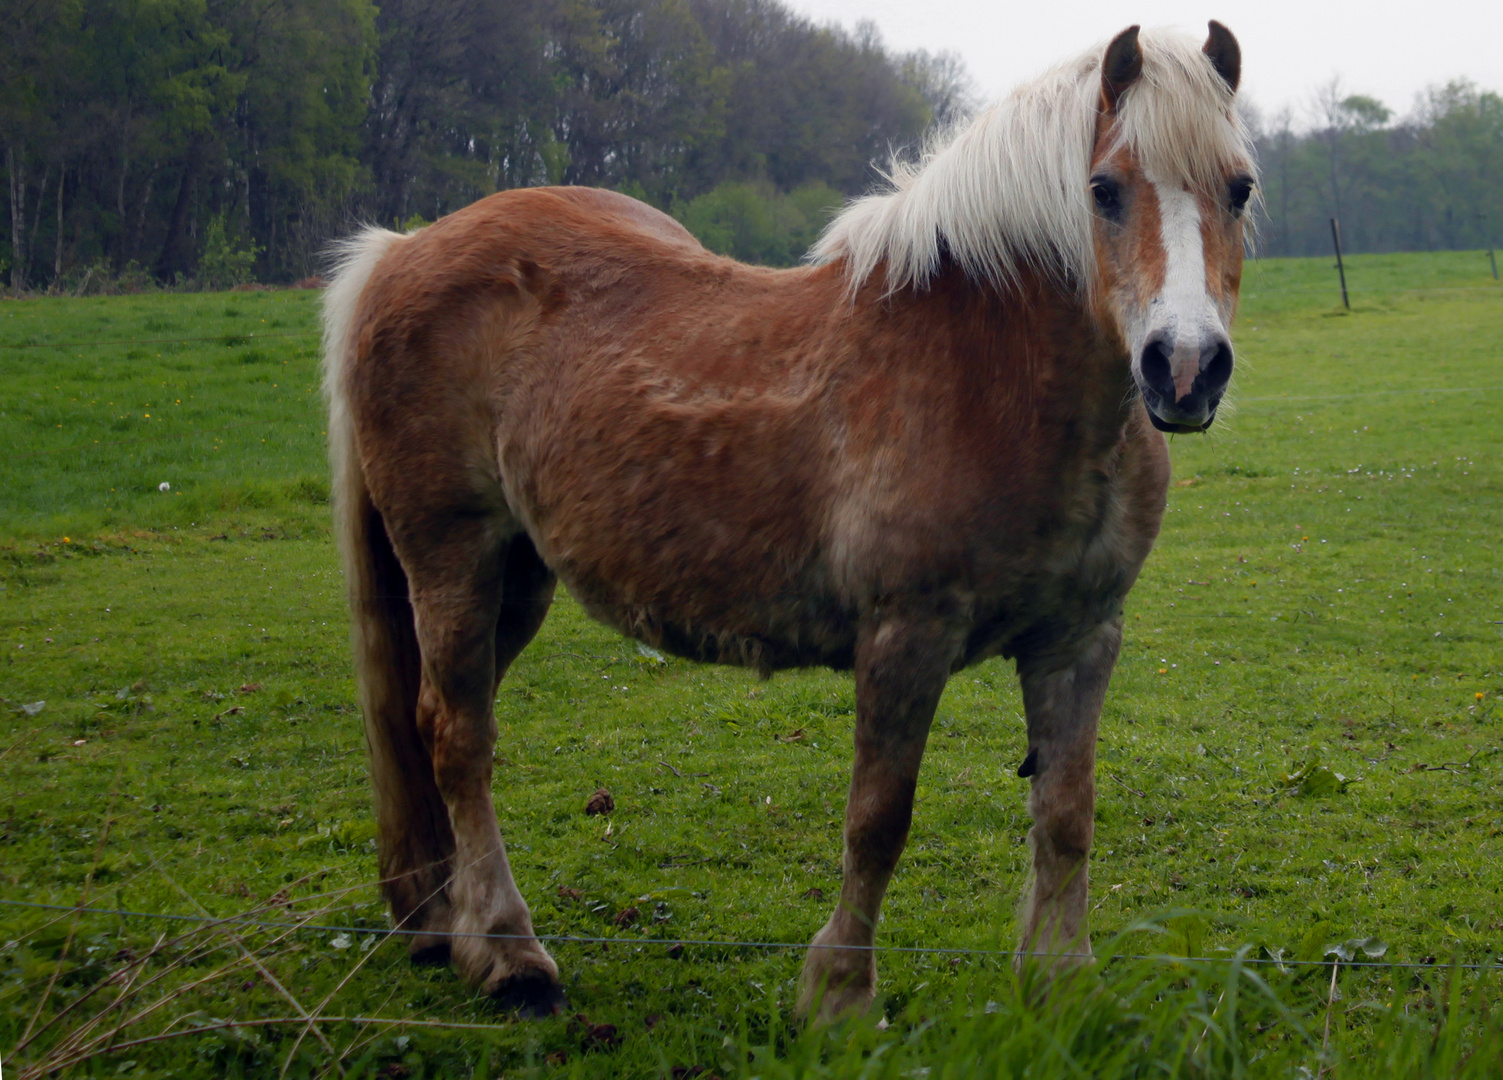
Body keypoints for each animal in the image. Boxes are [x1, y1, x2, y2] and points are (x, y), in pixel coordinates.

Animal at [323, 23, 1250, 1021]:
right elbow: (879, 820)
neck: (992, 375)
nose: (1183, 368)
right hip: (451, 556)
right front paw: (838, 996)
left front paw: (1061, 983)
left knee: (441, 724)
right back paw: (506, 954)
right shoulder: (905, 636)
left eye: (1239, 187)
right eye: (1103, 190)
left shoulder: (1078, 637)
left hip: (519, 575)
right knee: (458, 737)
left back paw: (438, 921)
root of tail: (400, 250)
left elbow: (1067, 813)